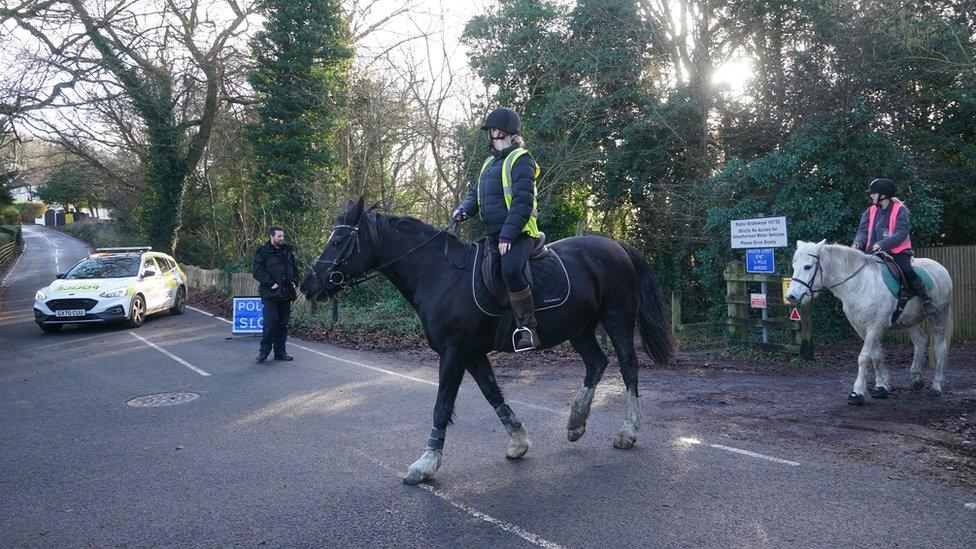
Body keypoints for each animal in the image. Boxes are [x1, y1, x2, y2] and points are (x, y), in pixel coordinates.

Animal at [302, 198, 676, 484]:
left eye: (338, 242)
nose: (306, 285)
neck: (439, 274)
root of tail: (617, 245)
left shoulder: (453, 352)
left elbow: (442, 406)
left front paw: (426, 464)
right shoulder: (471, 353)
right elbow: (492, 393)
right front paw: (518, 442)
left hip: (617, 320)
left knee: (628, 369)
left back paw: (627, 432)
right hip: (580, 328)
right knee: (597, 364)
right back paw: (575, 423)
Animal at [784, 240, 952, 402]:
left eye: (807, 266)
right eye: (794, 266)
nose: (791, 296)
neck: (860, 284)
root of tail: (940, 268)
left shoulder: (875, 326)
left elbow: (864, 357)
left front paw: (857, 392)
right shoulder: (861, 327)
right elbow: (875, 355)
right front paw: (881, 386)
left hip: (940, 316)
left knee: (940, 347)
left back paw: (936, 386)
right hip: (908, 321)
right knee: (921, 340)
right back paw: (917, 379)